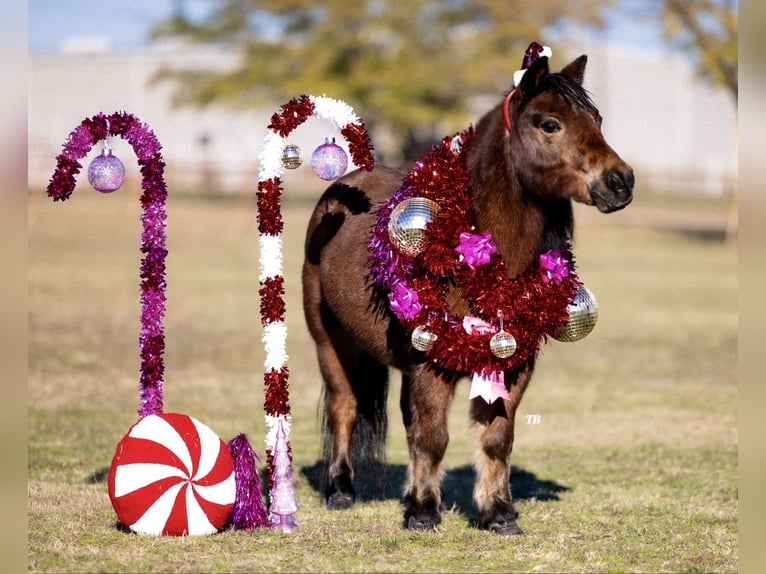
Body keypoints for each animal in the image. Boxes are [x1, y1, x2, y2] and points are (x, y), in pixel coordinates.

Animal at [304, 54, 632, 536]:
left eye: (598, 120)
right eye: (549, 123)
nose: (622, 181)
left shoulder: (511, 363)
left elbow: (496, 438)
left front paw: (498, 513)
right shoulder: (430, 364)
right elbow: (433, 436)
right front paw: (424, 512)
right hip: (330, 340)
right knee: (344, 406)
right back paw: (342, 490)